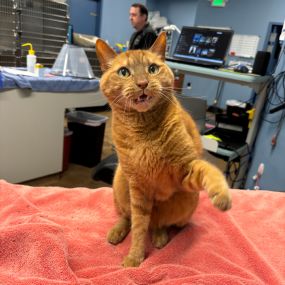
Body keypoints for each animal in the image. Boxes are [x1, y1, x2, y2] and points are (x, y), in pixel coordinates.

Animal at [95, 32, 231, 268]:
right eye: (124, 72)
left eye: (152, 68)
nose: (142, 83)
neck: (144, 131)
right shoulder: (137, 186)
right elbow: (138, 227)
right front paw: (135, 257)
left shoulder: (185, 170)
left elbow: (210, 172)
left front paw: (221, 194)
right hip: (120, 181)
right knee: (128, 216)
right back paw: (117, 232)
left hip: (188, 201)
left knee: (161, 224)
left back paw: (159, 236)